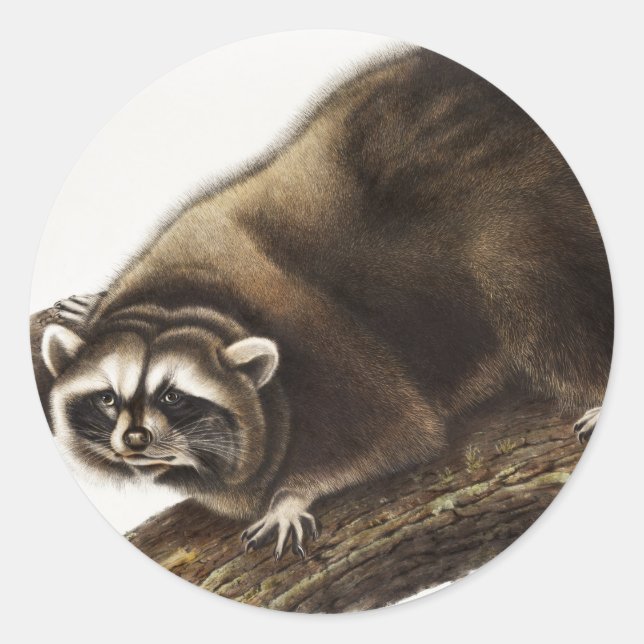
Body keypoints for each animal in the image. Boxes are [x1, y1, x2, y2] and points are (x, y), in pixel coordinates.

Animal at [38, 47, 613, 560]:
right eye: (107, 397)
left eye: (175, 396)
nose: (135, 439)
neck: (184, 301)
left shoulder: (318, 335)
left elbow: (400, 430)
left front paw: (292, 493)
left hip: (528, 223)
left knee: (531, 295)